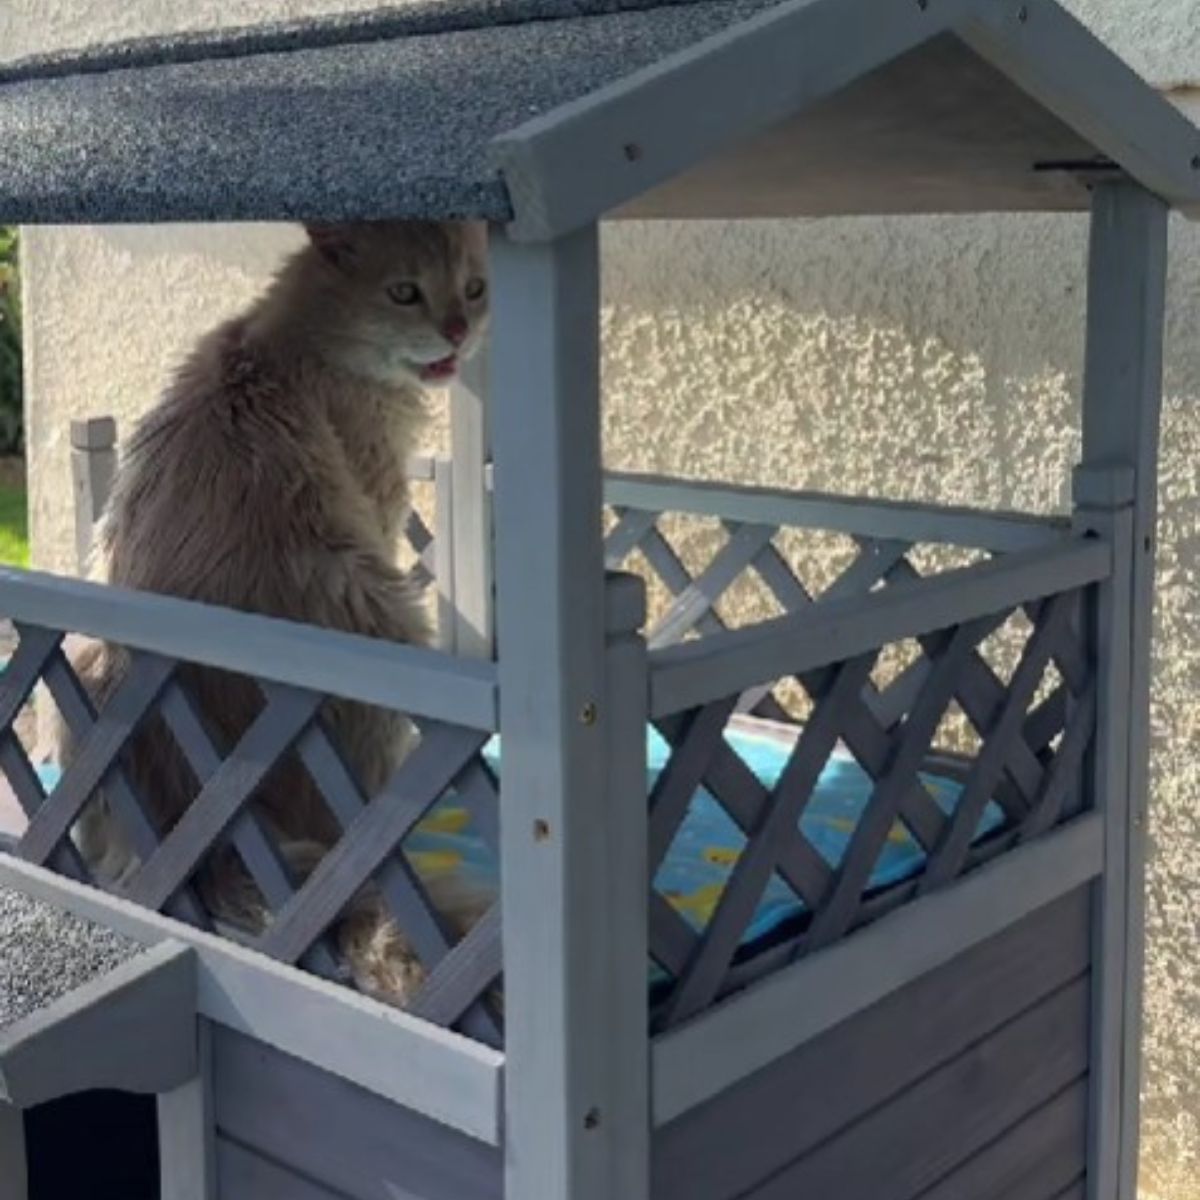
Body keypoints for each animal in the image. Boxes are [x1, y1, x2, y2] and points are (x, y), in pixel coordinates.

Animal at [58, 220, 489, 1008]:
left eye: (474, 288)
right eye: (404, 291)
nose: (459, 329)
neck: (279, 343)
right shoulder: (378, 507)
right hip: (385, 609)